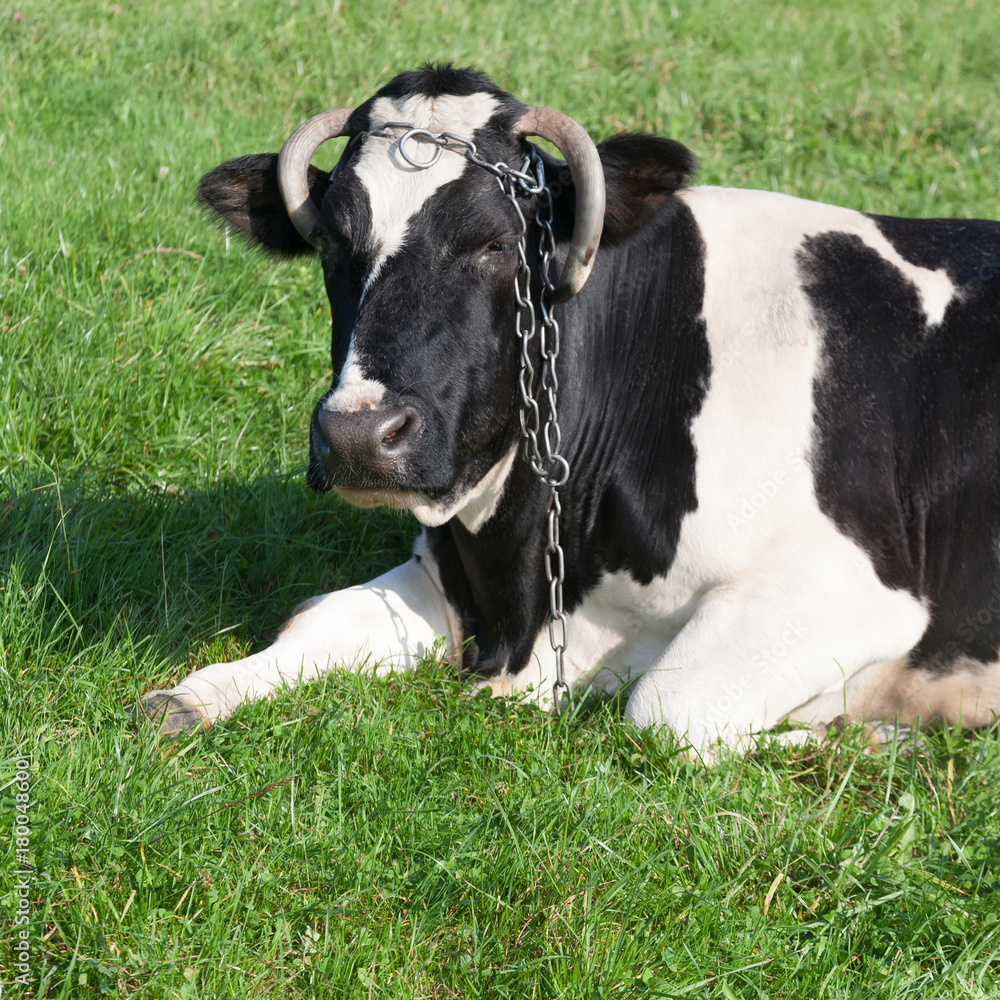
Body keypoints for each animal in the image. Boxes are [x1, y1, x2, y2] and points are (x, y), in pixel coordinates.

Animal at [139, 66, 1000, 756]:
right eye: (331, 244)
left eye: (495, 243)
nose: (357, 434)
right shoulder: (449, 574)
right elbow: (317, 616)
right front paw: (191, 695)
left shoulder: (849, 591)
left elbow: (666, 710)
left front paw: (866, 734)